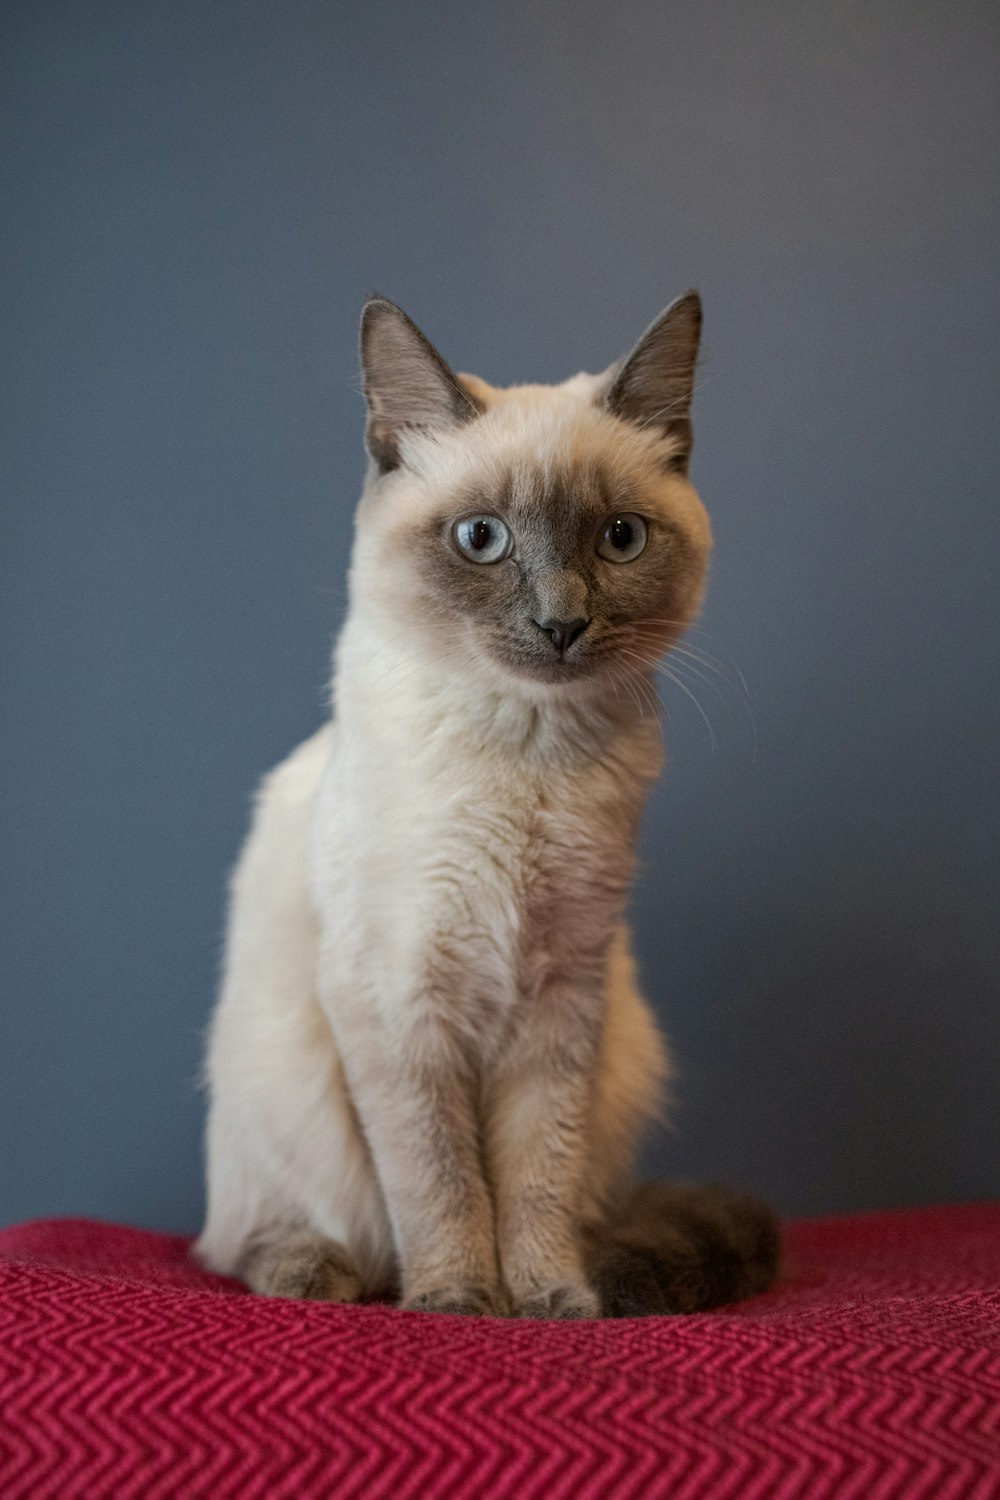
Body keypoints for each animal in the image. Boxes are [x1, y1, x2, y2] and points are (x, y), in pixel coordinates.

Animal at [191, 289, 779, 1314]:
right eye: (482, 539)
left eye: (620, 538)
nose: (561, 624)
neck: (530, 757)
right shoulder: (400, 1000)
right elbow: (441, 1178)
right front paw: (459, 1300)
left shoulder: (562, 997)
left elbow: (535, 1174)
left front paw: (549, 1300)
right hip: (279, 1087)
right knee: (247, 1241)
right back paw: (322, 1275)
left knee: (585, 1204)